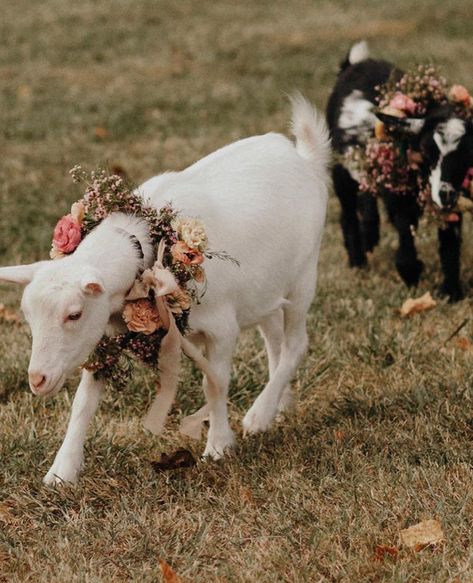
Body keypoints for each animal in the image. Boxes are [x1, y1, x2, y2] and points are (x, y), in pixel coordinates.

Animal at [0, 98, 328, 486]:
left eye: (74, 314)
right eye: (28, 318)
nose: (37, 381)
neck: (150, 243)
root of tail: (303, 157)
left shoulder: (222, 329)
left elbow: (215, 384)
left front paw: (218, 447)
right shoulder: (105, 333)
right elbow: (83, 401)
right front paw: (61, 472)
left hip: (304, 275)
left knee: (296, 343)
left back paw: (258, 414)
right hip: (265, 289)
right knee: (275, 340)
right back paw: (276, 407)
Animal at [324, 41, 472, 302]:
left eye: (466, 153)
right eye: (425, 151)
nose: (445, 195)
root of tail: (355, 64)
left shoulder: (453, 201)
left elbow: (450, 242)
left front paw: (452, 291)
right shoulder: (397, 197)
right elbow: (404, 228)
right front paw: (410, 272)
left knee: (366, 196)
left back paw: (370, 236)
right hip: (342, 170)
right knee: (348, 213)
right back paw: (358, 260)